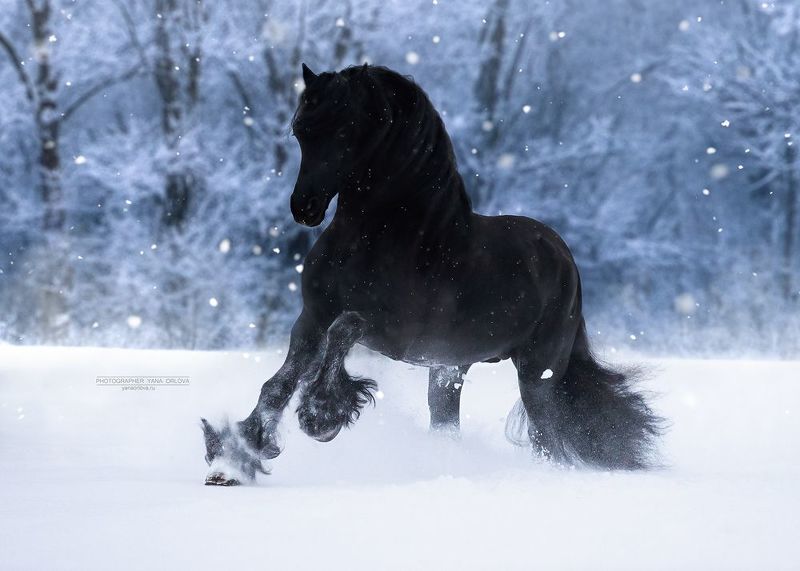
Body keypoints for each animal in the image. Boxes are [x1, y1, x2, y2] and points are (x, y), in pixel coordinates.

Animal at [201, 63, 662, 485]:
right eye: (300, 131)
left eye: (346, 130)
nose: (305, 207)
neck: (384, 237)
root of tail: (564, 259)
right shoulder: (311, 318)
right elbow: (278, 384)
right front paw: (233, 458)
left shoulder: (393, 332)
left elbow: (345, 329)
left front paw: (322, 415)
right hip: (448, 371)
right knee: (451, 424)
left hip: (537, 373)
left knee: (548, 435)